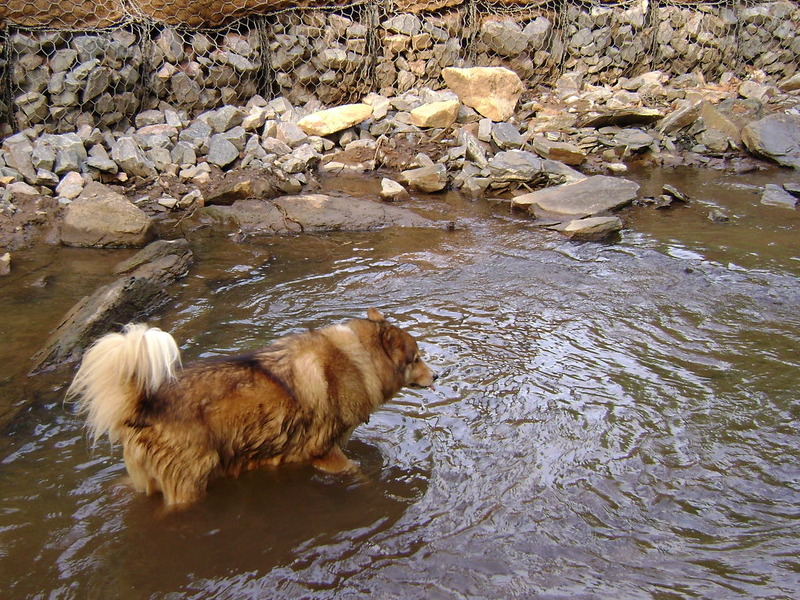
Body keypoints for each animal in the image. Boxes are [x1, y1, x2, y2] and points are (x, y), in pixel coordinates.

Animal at [67, 310, 438, 506]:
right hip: (190, 484)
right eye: (416, 358)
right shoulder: (325, 452)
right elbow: (359, 474)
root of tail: (144, 404)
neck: (357, 358)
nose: (438, 375)